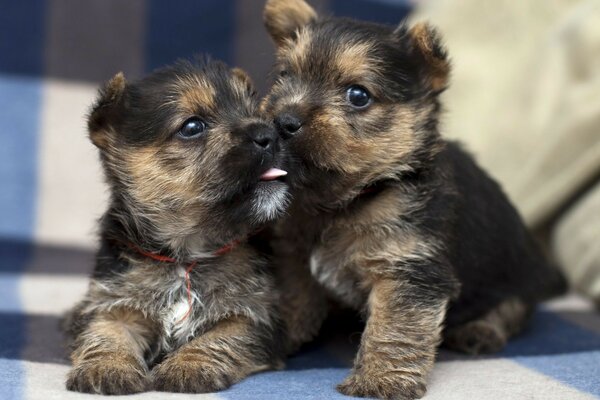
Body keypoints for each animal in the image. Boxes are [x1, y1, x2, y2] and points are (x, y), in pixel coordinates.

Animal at [64, 57, 290, 396]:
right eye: (192, 127)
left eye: (256, 112)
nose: (269, 134)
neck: (187, 256)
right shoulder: (115, 303)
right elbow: (105, 331)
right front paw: (107, 366)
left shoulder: (255, 314)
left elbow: (223, 336)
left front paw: (189, 365)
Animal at [262, 1, 568, 398]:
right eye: (284, 76)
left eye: (358, 96)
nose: (283, 120)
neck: (351, 197)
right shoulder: (295, 256)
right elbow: (295, 299)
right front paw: (277, 340)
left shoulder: (408, 268)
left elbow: (395, 327)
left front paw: (380, 380)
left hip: (514, 273)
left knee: (512, 308)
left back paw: (480, 330)